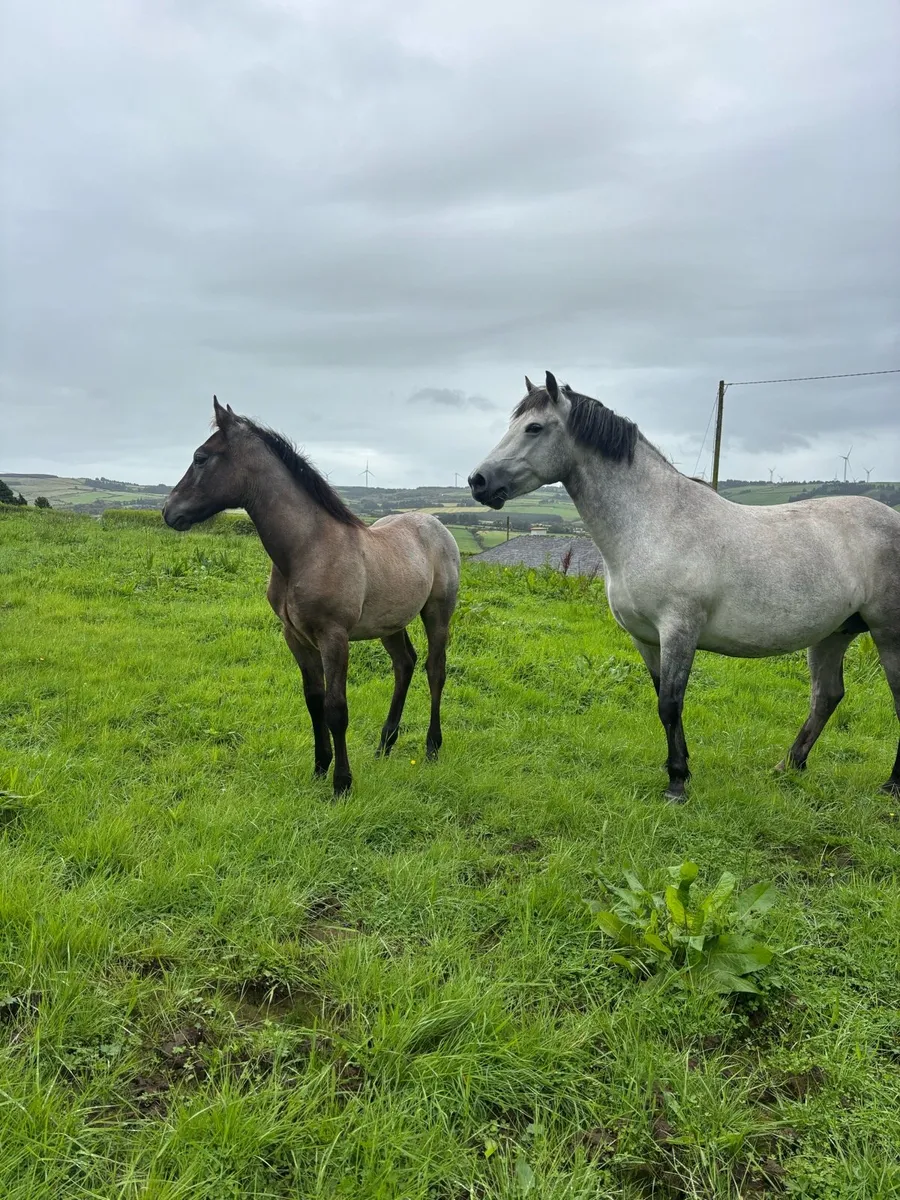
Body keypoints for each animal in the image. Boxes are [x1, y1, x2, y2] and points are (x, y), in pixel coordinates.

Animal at [164, 397, 460, 796]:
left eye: (200, 457)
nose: (169, 511)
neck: (307, 549)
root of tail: (437, 525)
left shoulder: (334, 637)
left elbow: (337, 708)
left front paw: (342, 784)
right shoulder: (296, 636)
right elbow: (314, 701)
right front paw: (320, 767)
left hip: (437, 613)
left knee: (435, 669)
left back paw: (431, 748)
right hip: (390, 623)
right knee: (405, 664)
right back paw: (384, 745)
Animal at [469, 371, 900, 802]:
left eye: (534, 428)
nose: (478, 481)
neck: (654, 521)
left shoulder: (679, 630)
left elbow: (671, 703)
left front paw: (676, 782)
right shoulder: (646, 638)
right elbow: (663, 699)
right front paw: (682, 766)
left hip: (887, 633)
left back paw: (890, 786)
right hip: (833, 634)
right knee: (826, 696)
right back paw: (788, 766)